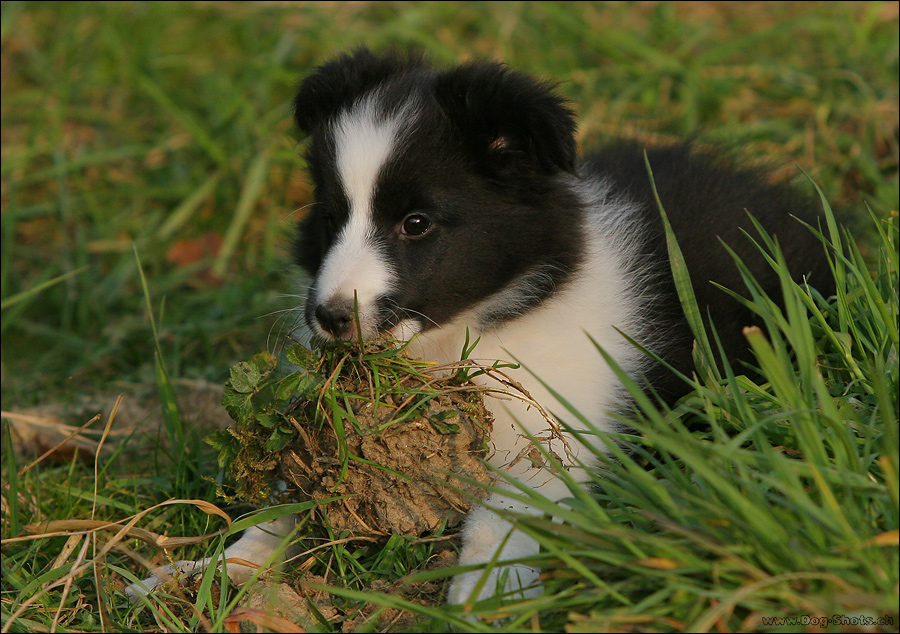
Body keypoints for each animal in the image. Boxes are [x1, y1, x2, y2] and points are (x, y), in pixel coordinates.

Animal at [126, 48, 828, 604]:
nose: (328, 318)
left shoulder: (556, 439)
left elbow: (499, 518)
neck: (469, 333)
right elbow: (288, 502)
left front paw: (482, 597)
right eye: (329, 218)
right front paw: (208, 571)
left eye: (415, 223)